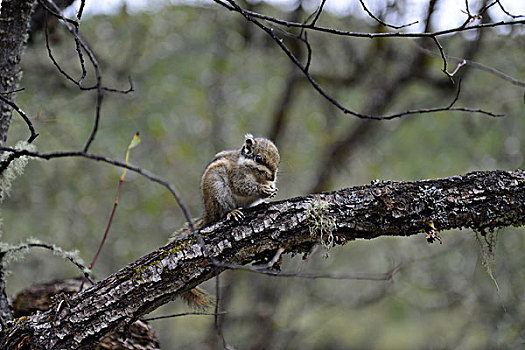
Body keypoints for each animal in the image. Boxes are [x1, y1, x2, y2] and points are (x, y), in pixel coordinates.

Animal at [173, 133, 278, 308]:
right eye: (258, 158)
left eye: (278, 161)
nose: (273, 176)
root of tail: (209, 213)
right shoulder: (237, 176)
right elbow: (242, 186)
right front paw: (261, 189)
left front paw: (271, 189)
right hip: (217, 188)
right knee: (223, 211)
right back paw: (232, 212)